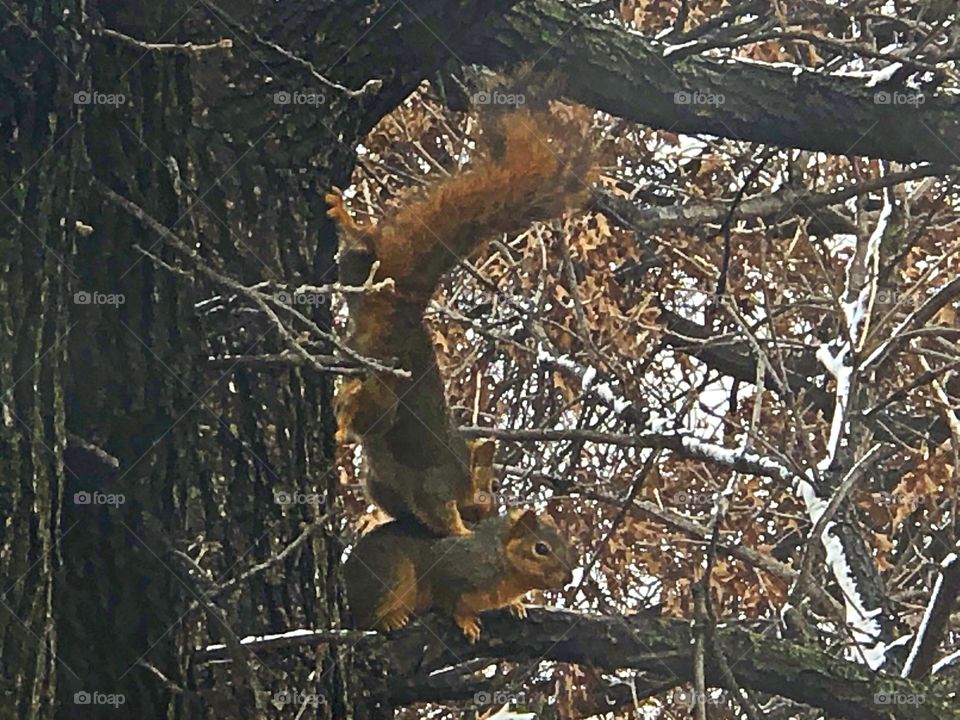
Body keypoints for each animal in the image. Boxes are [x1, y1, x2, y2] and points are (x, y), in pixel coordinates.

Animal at [327, 105, 596, 536]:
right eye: (492, 483)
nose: (489, 507)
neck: (465, 476)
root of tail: (404, 311)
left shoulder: (387, 488)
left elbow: (390, 500)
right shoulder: (438, 483)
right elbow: (438, 511)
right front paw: (463, 531)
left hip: (359, 283)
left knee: (359, 255)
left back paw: (348, 224)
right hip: (387, 387)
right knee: (371, 410)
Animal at [343, 508, 576, 641]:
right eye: (541, 548)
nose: (568, 578)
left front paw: (515, 605)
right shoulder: (450, 568)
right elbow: (452, 601)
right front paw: (466, 622)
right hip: (392, 575)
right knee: (365, 618)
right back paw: (390, 619)